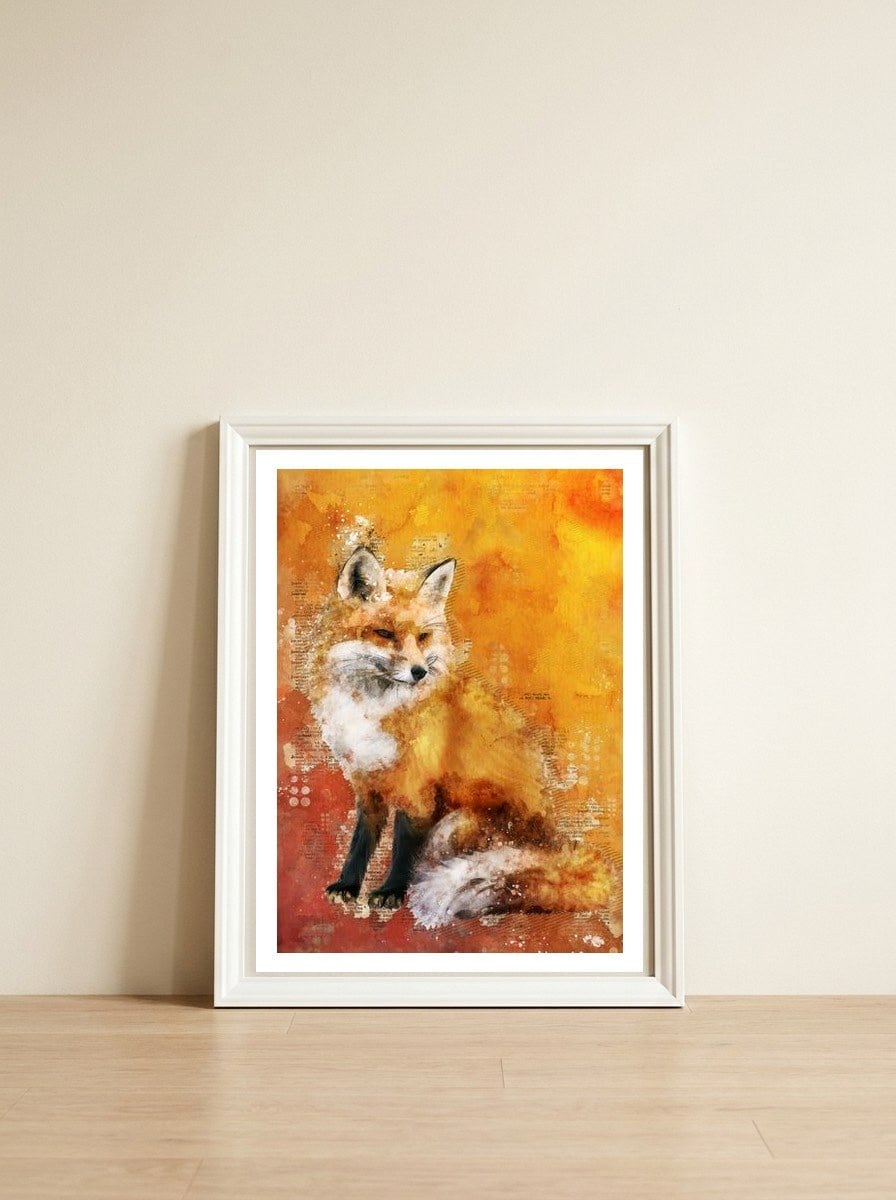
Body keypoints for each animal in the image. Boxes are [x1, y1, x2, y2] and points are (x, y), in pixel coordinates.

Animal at [307, 544, 619, 930]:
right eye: (384, 633)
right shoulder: (367, 783)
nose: (419, 672)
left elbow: (403, 848)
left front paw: (392, 891)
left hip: (455, 822)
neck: (376, 708)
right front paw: (348, 886)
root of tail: (552, 844)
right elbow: (360, 842)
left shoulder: (419, 791)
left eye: (423, 637)